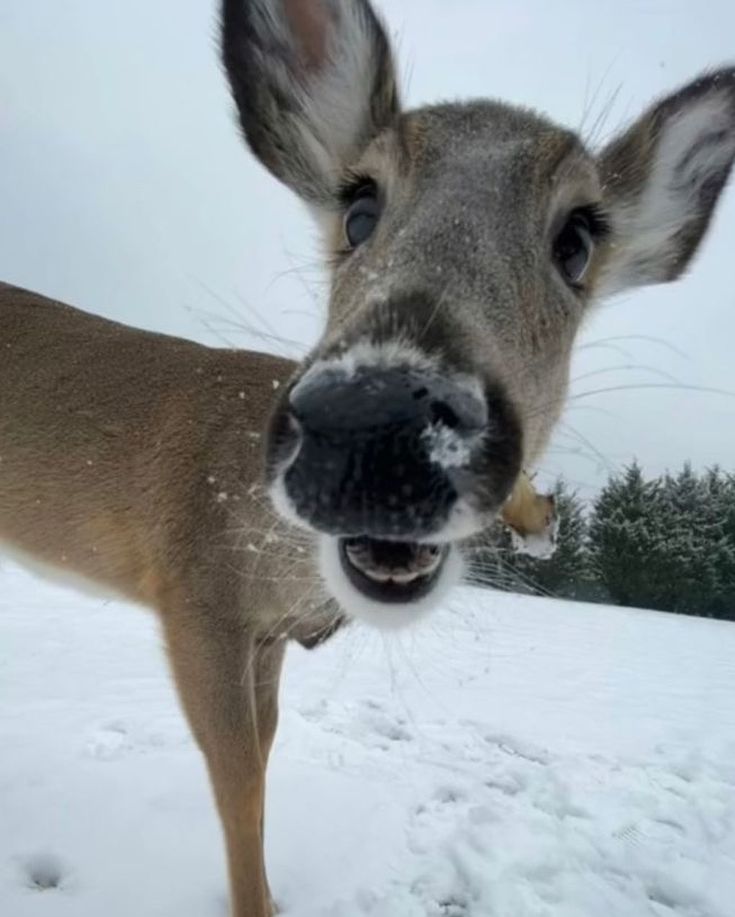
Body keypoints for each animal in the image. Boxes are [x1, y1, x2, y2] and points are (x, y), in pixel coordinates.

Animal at [1, 1, 735, 916]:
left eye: (577, 240)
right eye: (357, 206)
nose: (380, 419)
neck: (284, 567)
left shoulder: (264, 635)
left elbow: (264, 755)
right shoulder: (194, 591)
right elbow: (237, 776)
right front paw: (256, 903)